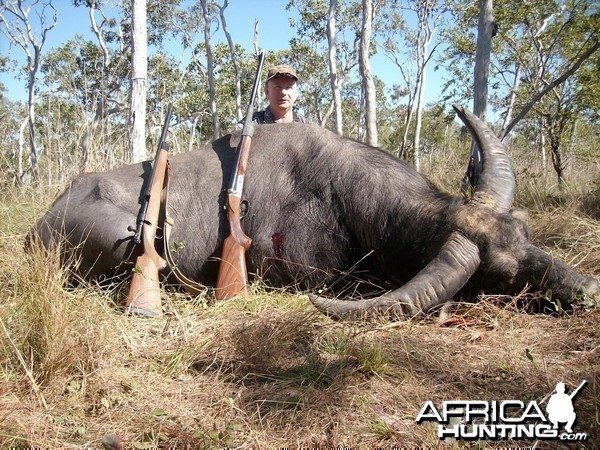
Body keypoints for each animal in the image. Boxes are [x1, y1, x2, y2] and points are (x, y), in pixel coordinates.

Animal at [30, 107, 600, 318]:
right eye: (502, 274)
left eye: (525, 232)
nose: (588, 289)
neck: (341, 193)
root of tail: (45, 219)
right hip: (118, 234)